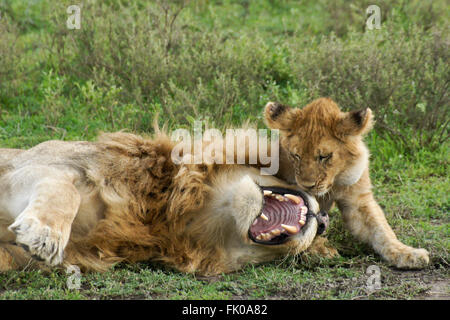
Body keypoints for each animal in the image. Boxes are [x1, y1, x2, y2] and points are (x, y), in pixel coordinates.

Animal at [264, 99, 428, 268]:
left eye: (324, 156)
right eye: (296, 156)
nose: (307, 185)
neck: (334, 182)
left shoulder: (358, 201)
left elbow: (382, 230)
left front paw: (409, 253)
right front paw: (320, 250)